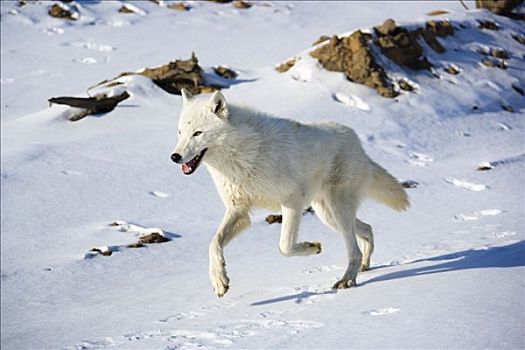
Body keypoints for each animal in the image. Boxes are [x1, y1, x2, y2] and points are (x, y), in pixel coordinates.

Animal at [172, 89, 410, 296]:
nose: (175, 157)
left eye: (198, 133)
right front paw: (219, 280)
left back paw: (347, 280)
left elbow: (284, 247)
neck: (240, 154)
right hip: (328, 215)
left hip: (337, 210)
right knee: (367, 229)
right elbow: (214, 244)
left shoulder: (292, 201)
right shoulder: (239, 211)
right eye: (180, 132)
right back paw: (364, 266)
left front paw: (311, 247)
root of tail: (357, 142)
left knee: (354, 249)